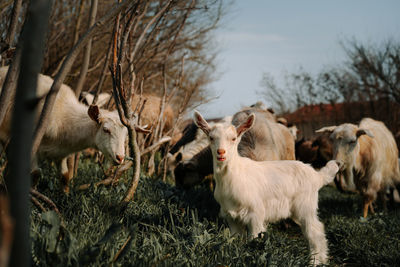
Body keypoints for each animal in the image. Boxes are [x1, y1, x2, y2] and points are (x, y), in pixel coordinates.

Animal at [192, 110, 340, 266]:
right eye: (211, 138)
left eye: (233, 138)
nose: (221, 152)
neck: (235, 177)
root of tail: (317, 176)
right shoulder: (231, 216)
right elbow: (237, 239)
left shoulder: (255, 214)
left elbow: (254, 240)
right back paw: (322, 259)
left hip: (305, 206)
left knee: (314, 231)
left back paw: (315, 261)